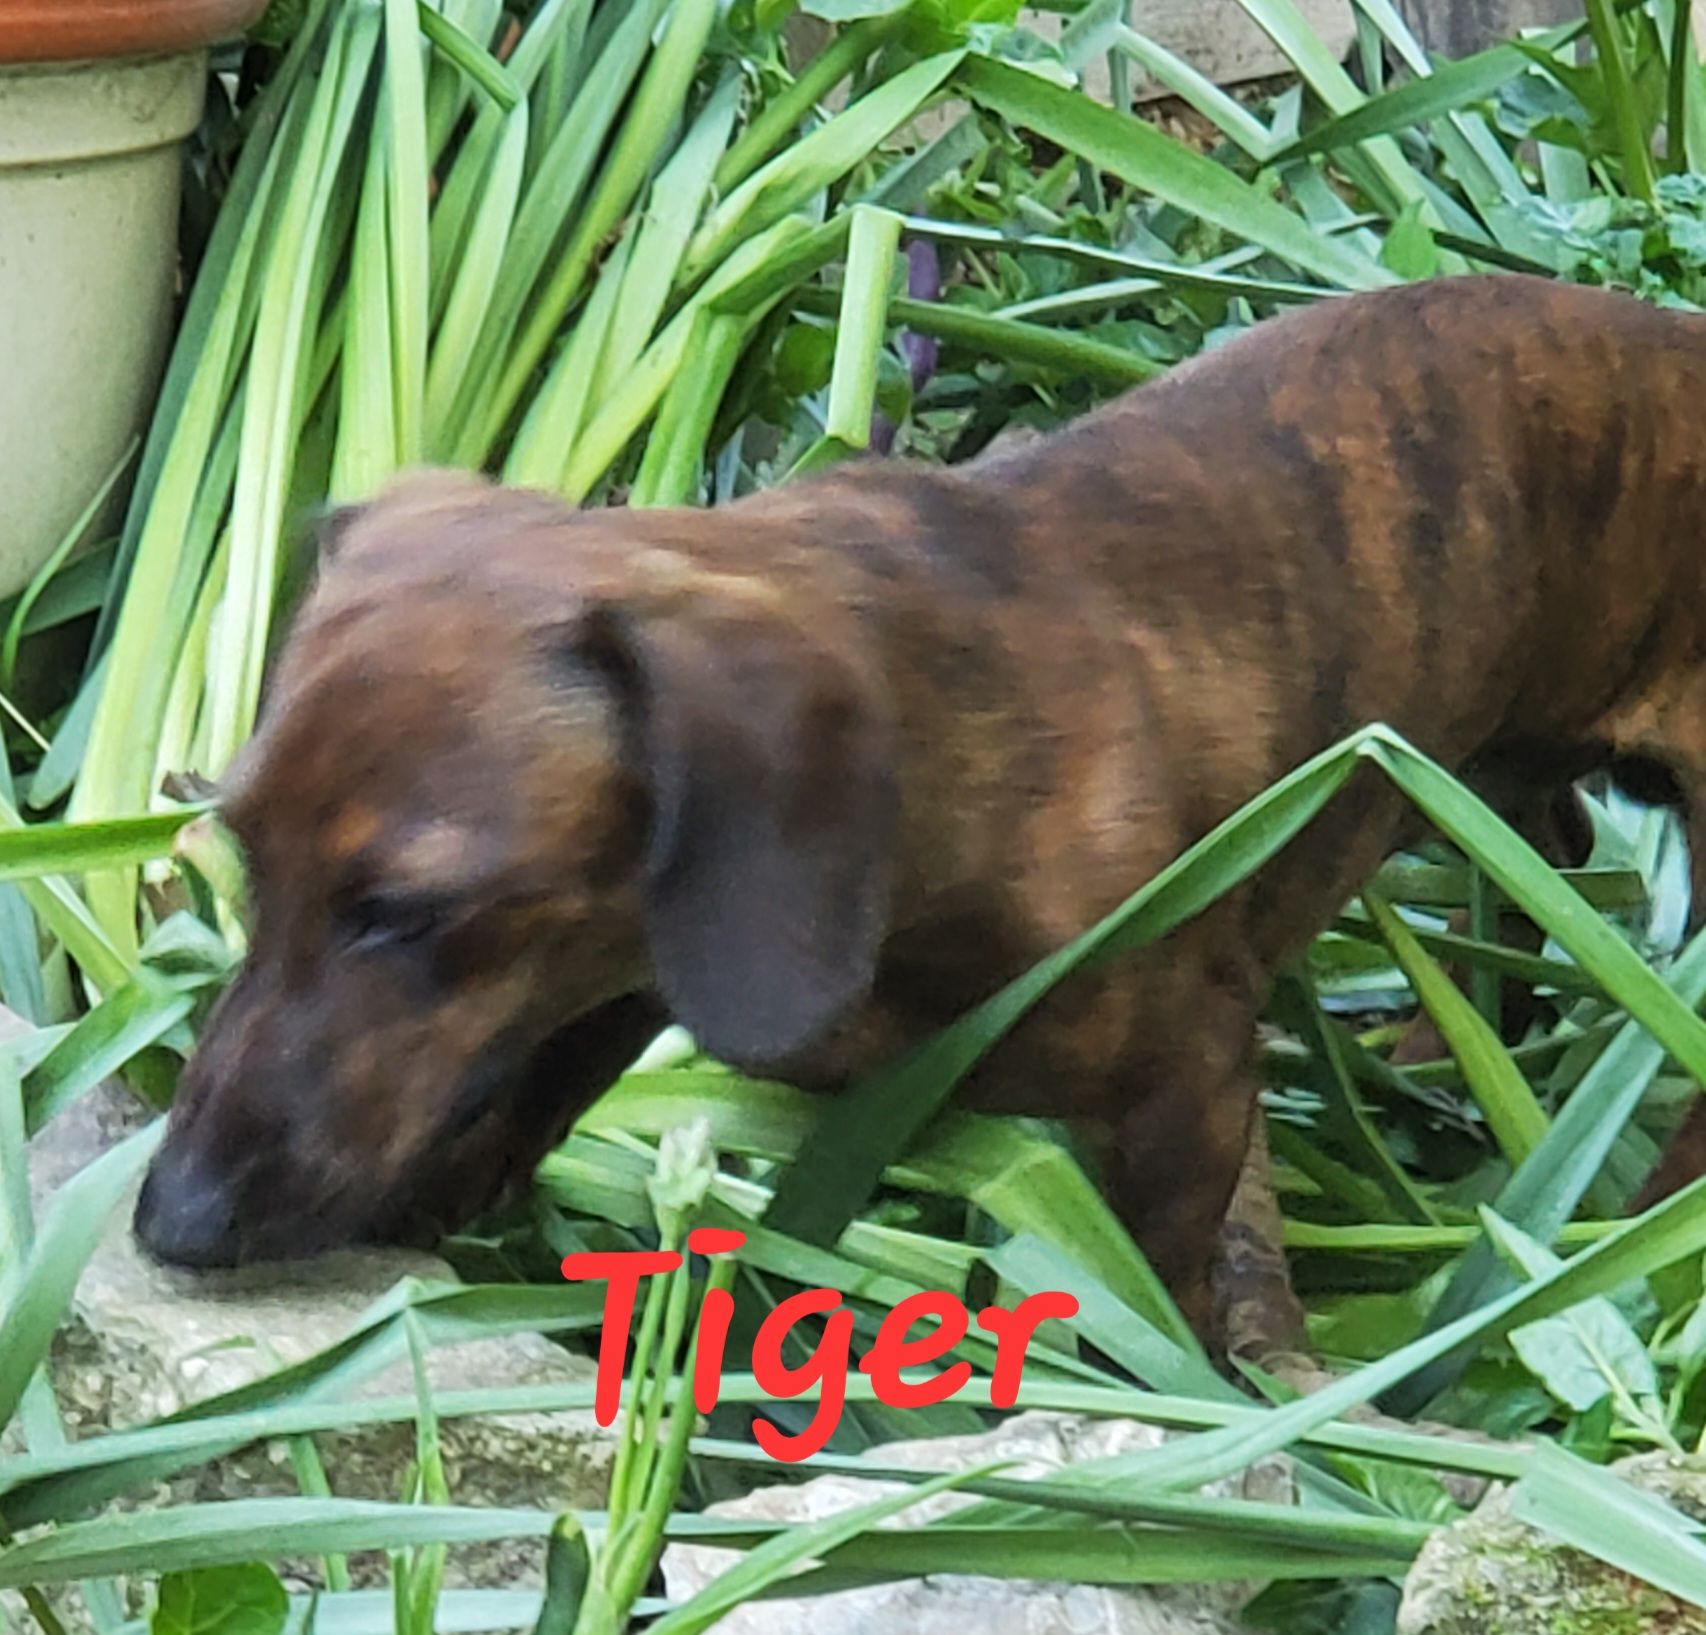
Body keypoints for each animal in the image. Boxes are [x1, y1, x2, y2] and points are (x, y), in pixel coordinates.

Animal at [131, 274, 1706, 1337]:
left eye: (409, 913)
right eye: (241, 863)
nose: (171, 1218)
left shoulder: (1185, 1090)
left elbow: (1167, 1289)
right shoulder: (608, 980)